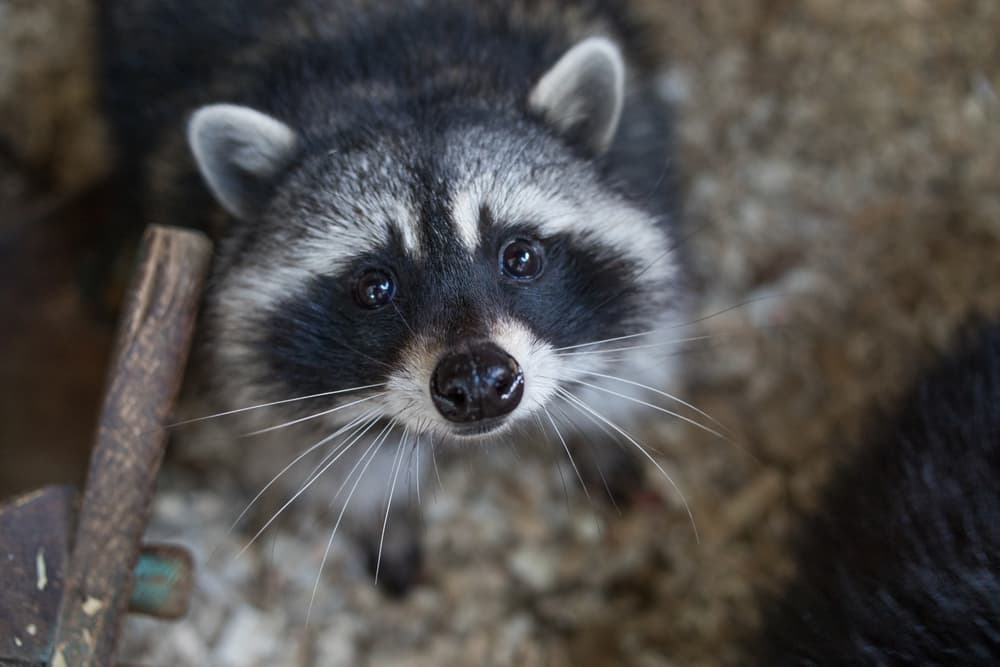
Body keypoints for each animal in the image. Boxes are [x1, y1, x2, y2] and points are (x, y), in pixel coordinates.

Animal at [101, 1, 688, 596]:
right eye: (375, 287)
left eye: (520, 257)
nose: (478, 381)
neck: (403, 74)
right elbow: (311, 449)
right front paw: (379, 515)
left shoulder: (643, 154)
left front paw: (598, 428)